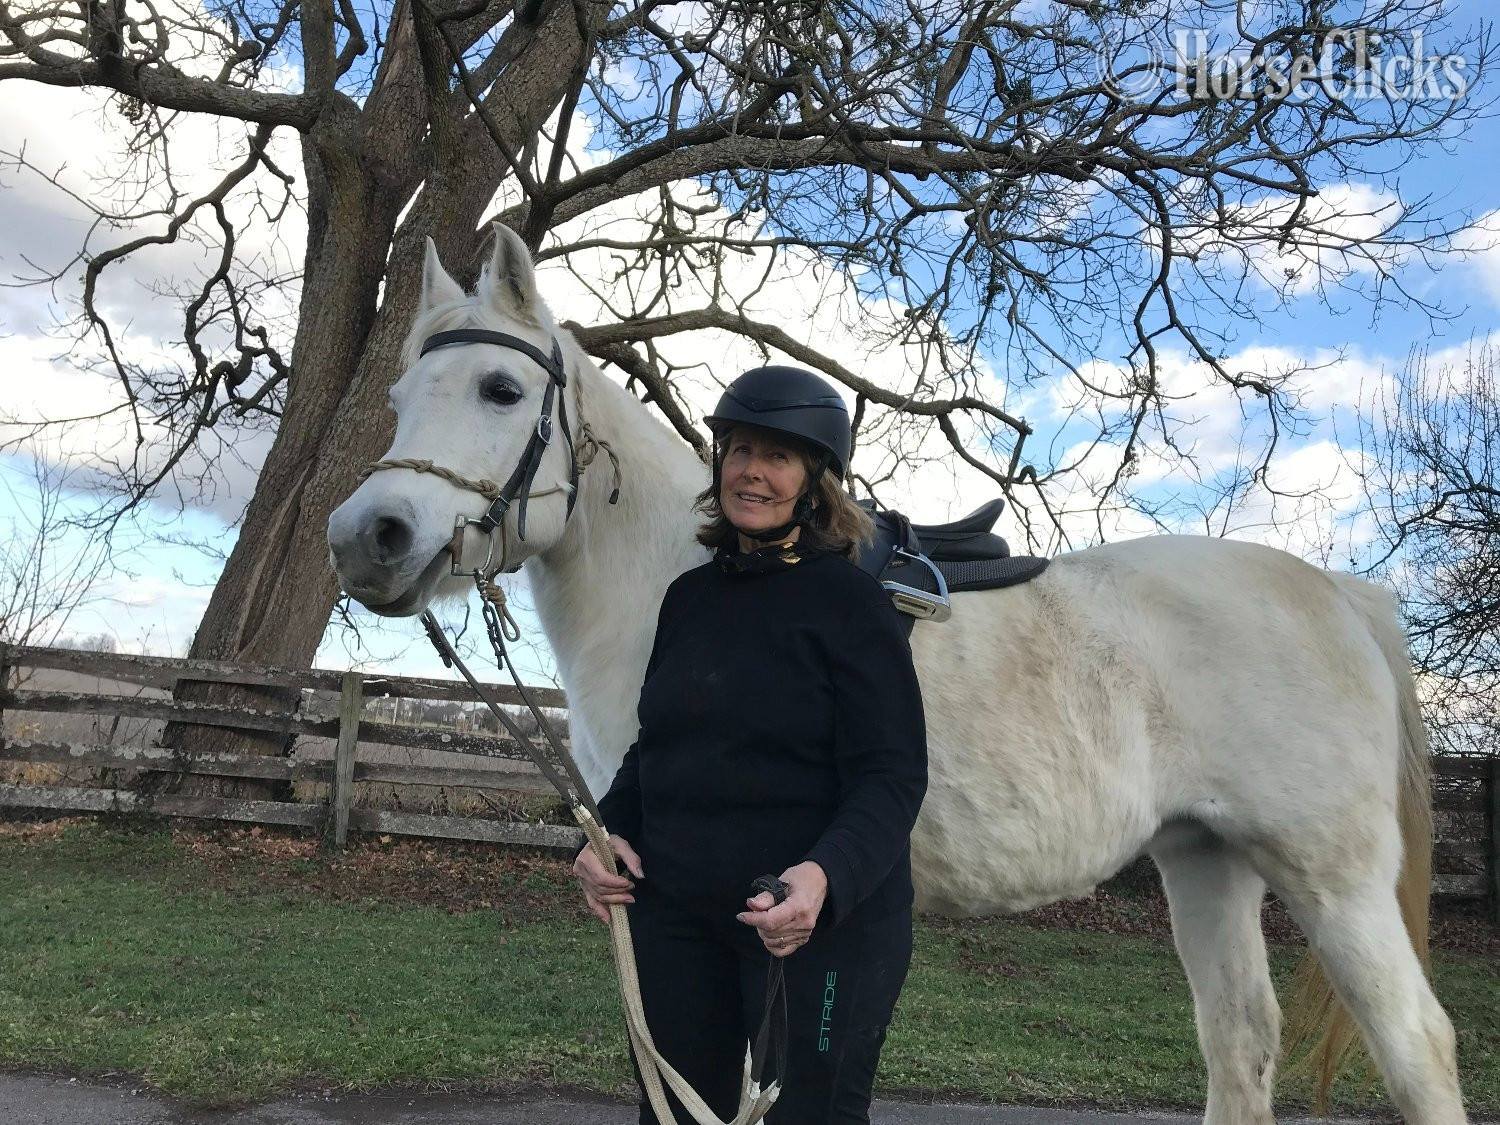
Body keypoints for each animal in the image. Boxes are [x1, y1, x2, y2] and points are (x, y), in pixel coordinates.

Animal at [326, 224, 1467, 1125]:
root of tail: (1338, 594)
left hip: (1334, 883)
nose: (367, 538)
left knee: (1419, 1051)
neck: (708, 576)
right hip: (1208, 861)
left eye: (502, 388)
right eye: (400, 393)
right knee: (1240, 1047)